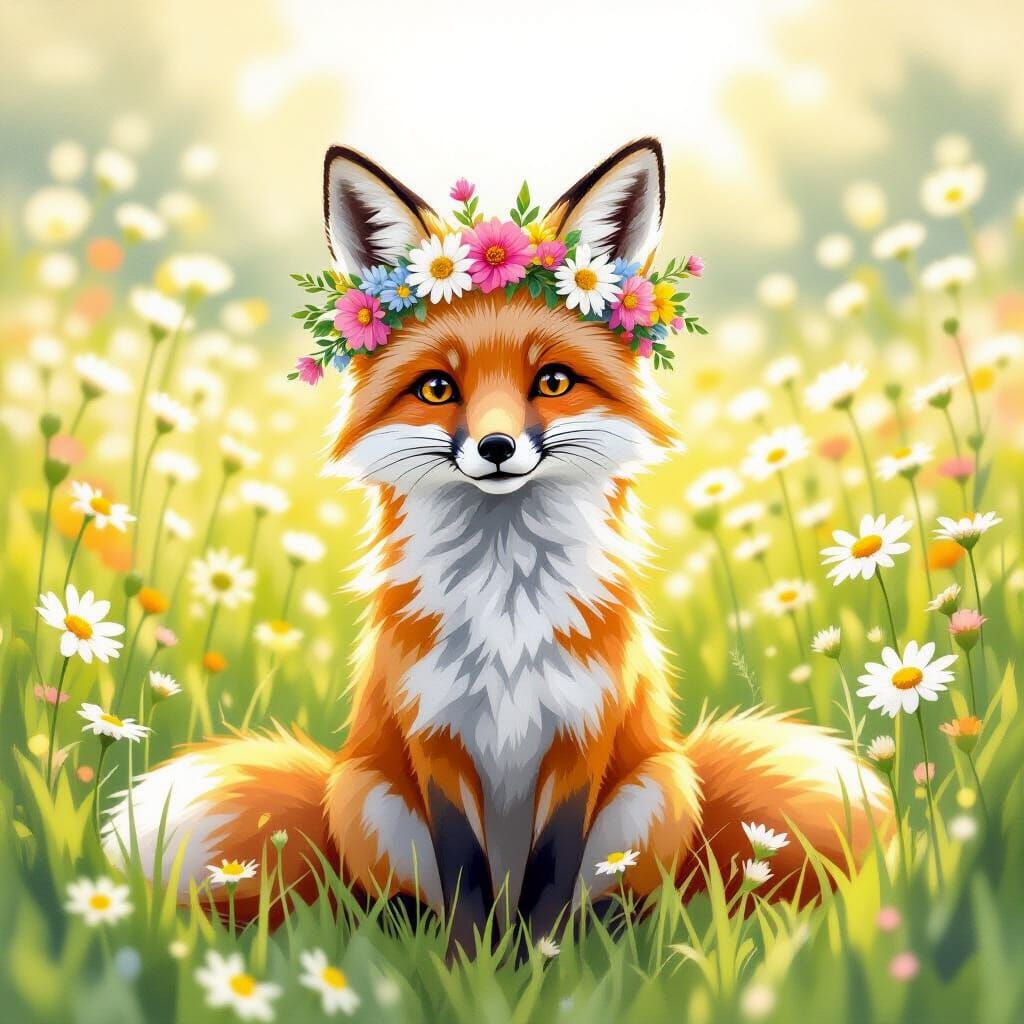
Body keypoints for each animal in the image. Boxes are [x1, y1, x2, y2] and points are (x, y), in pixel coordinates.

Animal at [104, 138, 891, 954]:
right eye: (437, 389)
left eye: (553, 380)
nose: (496, 447)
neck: (507, 606)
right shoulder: (436, 739)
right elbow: (463, 880)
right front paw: (470, 965)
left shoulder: (581, 736)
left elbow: (552, 872)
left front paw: (542, 963)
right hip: (366, 795)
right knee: (389, 904)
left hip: (656, 790)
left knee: (620, 900)